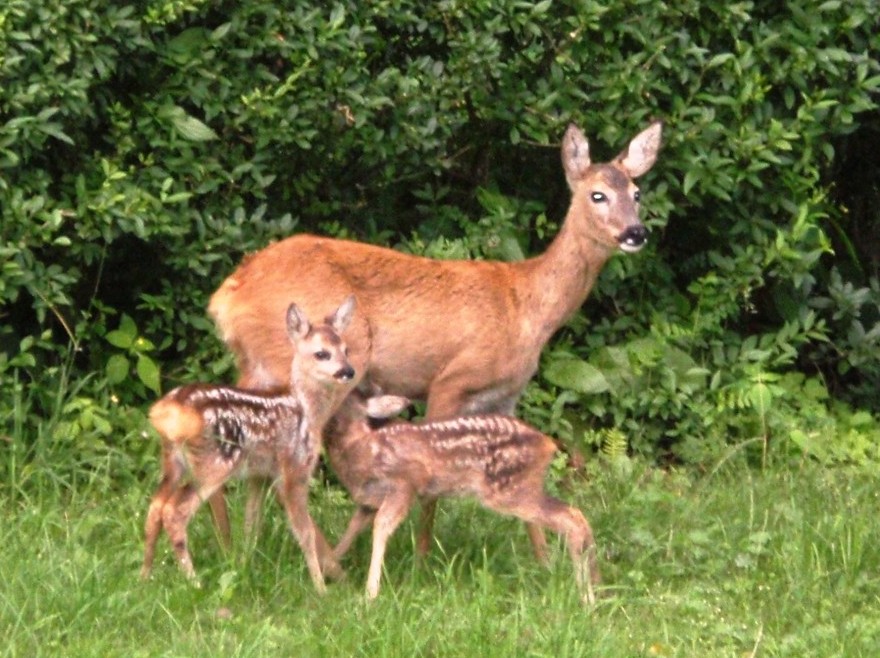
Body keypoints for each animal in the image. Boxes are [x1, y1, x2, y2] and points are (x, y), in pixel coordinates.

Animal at [206, 120, 660, 552]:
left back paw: (237, 546)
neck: (525, 307)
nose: (635, 233)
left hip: (258, 364)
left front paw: (546, 561)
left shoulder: (506, 396)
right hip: (311, 367)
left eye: (636, 193)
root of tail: (228, 294)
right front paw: (423, 558)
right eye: (598, 195)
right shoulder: (450, 380)